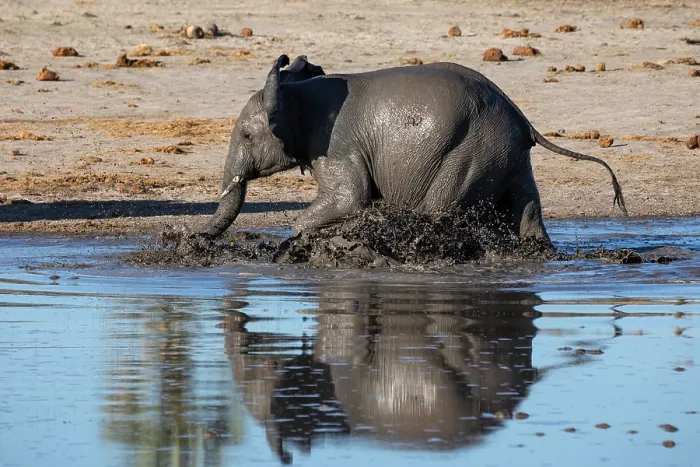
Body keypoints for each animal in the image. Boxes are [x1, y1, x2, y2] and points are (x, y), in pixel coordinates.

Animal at [198, 54, 627, 244]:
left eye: (247, 137)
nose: (195, 239)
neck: (294, 91)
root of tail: (523, 120)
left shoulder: (335, 146)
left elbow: (350, 198)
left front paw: (300, 240)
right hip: (507, 155)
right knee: (528, 212)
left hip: (470, 151)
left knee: (439, 212)